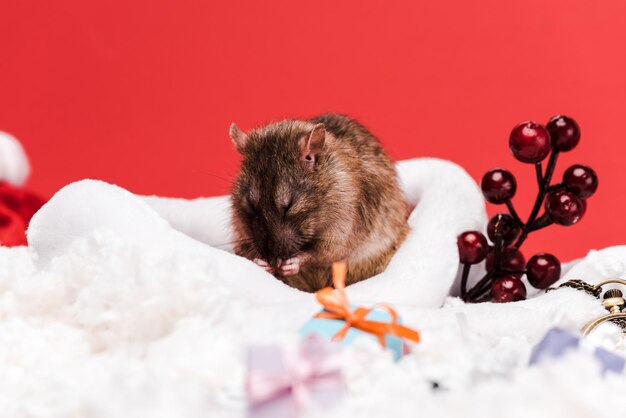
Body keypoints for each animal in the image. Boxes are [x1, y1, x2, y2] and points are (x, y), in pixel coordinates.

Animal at [227, 112, 408, 292]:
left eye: (289, 206)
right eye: (251, 206)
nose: (272, 259)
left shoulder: (344, 223)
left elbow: (327, 252)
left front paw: (295, 261)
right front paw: (260, 262)